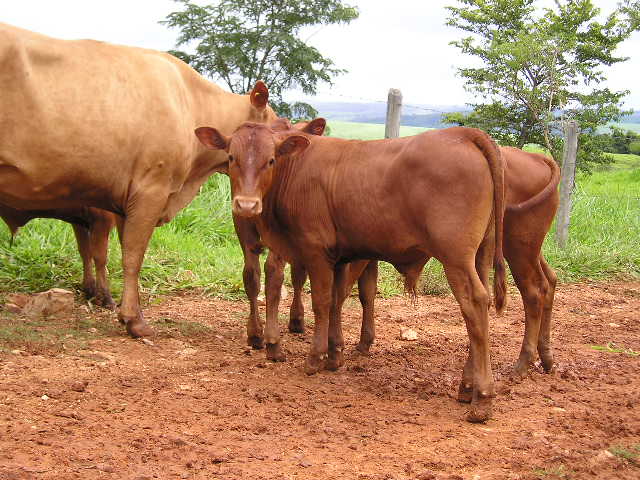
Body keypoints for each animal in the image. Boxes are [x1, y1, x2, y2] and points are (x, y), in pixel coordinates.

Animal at [2, 23, 278, 338]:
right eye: (279, 124)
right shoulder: (149, 193)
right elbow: (131, 257)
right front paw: (132, 318)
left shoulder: (122, 205)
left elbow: (109, 253)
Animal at [198, 122, 508, 422]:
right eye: (231, 157)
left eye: (271, 159)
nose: (246, 205)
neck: (296, 170)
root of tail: (463, 133)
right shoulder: (339, 257)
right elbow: (337, 300)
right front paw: (335, 355)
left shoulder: (315, 251)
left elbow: (322, 302)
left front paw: (315, 357)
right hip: (480, 255)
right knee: (481, 308)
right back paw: (467, 387)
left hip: (456, 257)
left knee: (474, 304)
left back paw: (482, 399)